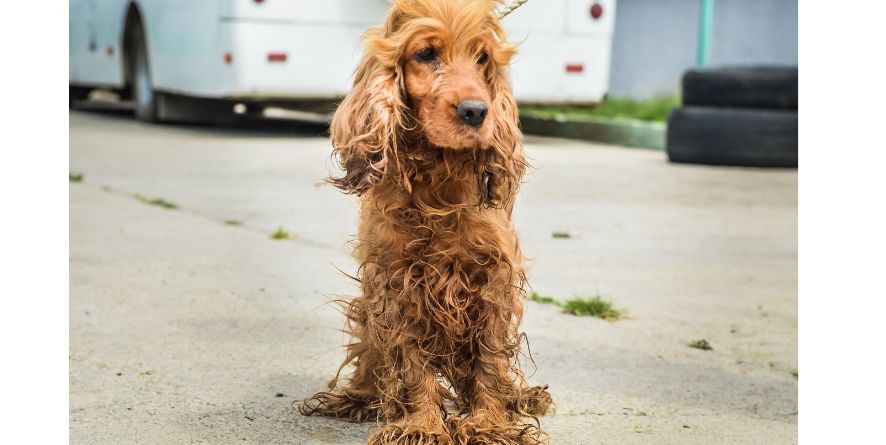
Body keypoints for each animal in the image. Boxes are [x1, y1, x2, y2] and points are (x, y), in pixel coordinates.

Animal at [306, 1, 556, 442]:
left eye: (482, 58)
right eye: (426, 54)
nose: (476, 111)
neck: (438, 182)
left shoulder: (492, 276)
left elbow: (490, 359)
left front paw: (488, 423)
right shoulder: (397, 280)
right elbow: (410, 363)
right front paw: (422, 425)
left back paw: (522, 397)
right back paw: (359, 396)